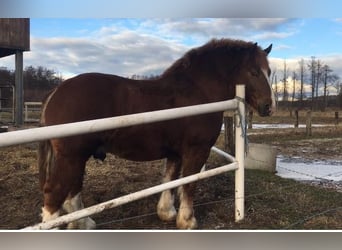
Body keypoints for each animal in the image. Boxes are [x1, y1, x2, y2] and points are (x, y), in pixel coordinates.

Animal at [38, 38, 274, 229]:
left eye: (269, 72)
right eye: (253, 72)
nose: (268, 107)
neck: (198, 91)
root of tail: (56, 91)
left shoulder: (175, 153)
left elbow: (171, 180)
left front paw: (167, 213)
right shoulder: (197, 150)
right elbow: (189, 183)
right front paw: (187, 221)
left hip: (77, 158)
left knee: (72, 192)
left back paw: (84, 223)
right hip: (72, 157)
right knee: (54, 194)